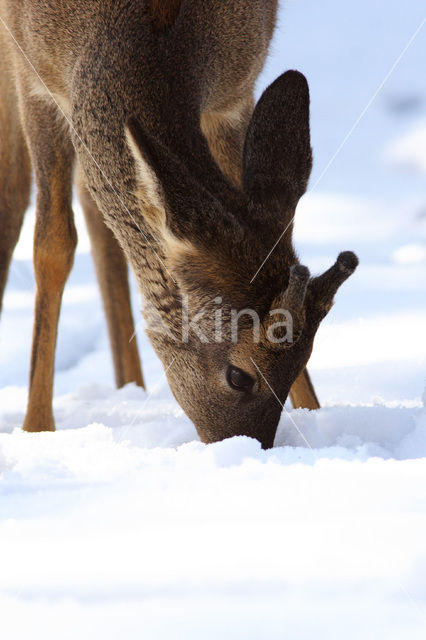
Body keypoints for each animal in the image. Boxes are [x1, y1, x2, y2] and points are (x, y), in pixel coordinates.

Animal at [0, 1, 358, 450]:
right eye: (239, 376)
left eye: (307, 354)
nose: (251, 447)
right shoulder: (32, 74)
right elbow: (52, 245)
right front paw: (37, 428)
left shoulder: (236, 93)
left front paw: (314, 411)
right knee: (16, 195)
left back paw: (130, 389)